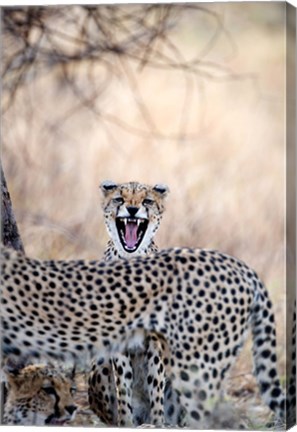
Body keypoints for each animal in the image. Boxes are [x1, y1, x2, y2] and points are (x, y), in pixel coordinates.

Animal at [86, 181, 178, 426]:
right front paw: (126, 423)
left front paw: (157, 423)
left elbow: (156, 383)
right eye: (119, 199)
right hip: (99, 361)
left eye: (147, 201)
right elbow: (123, 385)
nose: (133, 210)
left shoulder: (155, 338)